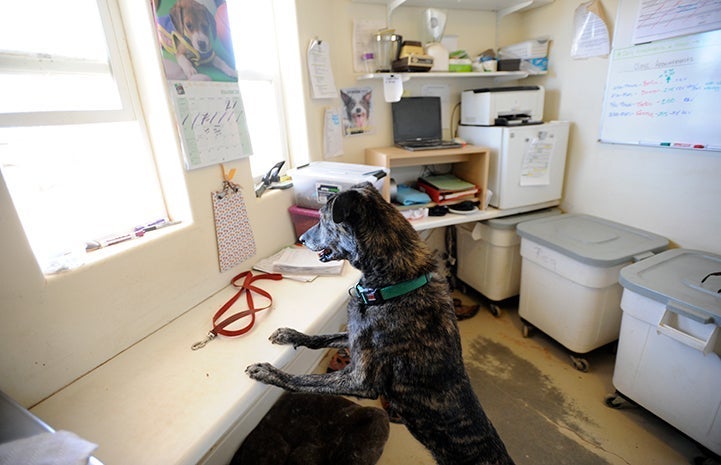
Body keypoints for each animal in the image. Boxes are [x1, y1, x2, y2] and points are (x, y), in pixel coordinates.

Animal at [245, 182, 516, 464]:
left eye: (322, 218)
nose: (301, 239)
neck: (395, 286)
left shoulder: (360, 380)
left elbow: (305, 381)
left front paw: (268, 372)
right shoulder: (355, 337)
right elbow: (322, 338)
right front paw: (290, 334)